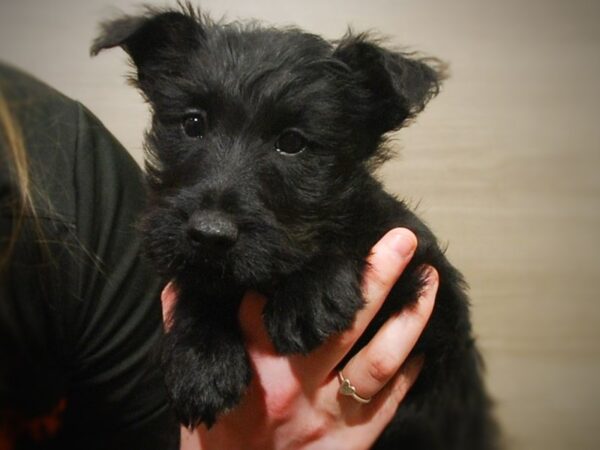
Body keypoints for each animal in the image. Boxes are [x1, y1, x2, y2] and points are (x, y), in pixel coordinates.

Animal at [92, 4, 496, 450]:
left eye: (292, 142)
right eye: (193, 123)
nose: (210, 234)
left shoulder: (437, 317)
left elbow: (354, 228)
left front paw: (310, 292)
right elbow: (200, 282)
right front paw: (200, 358)